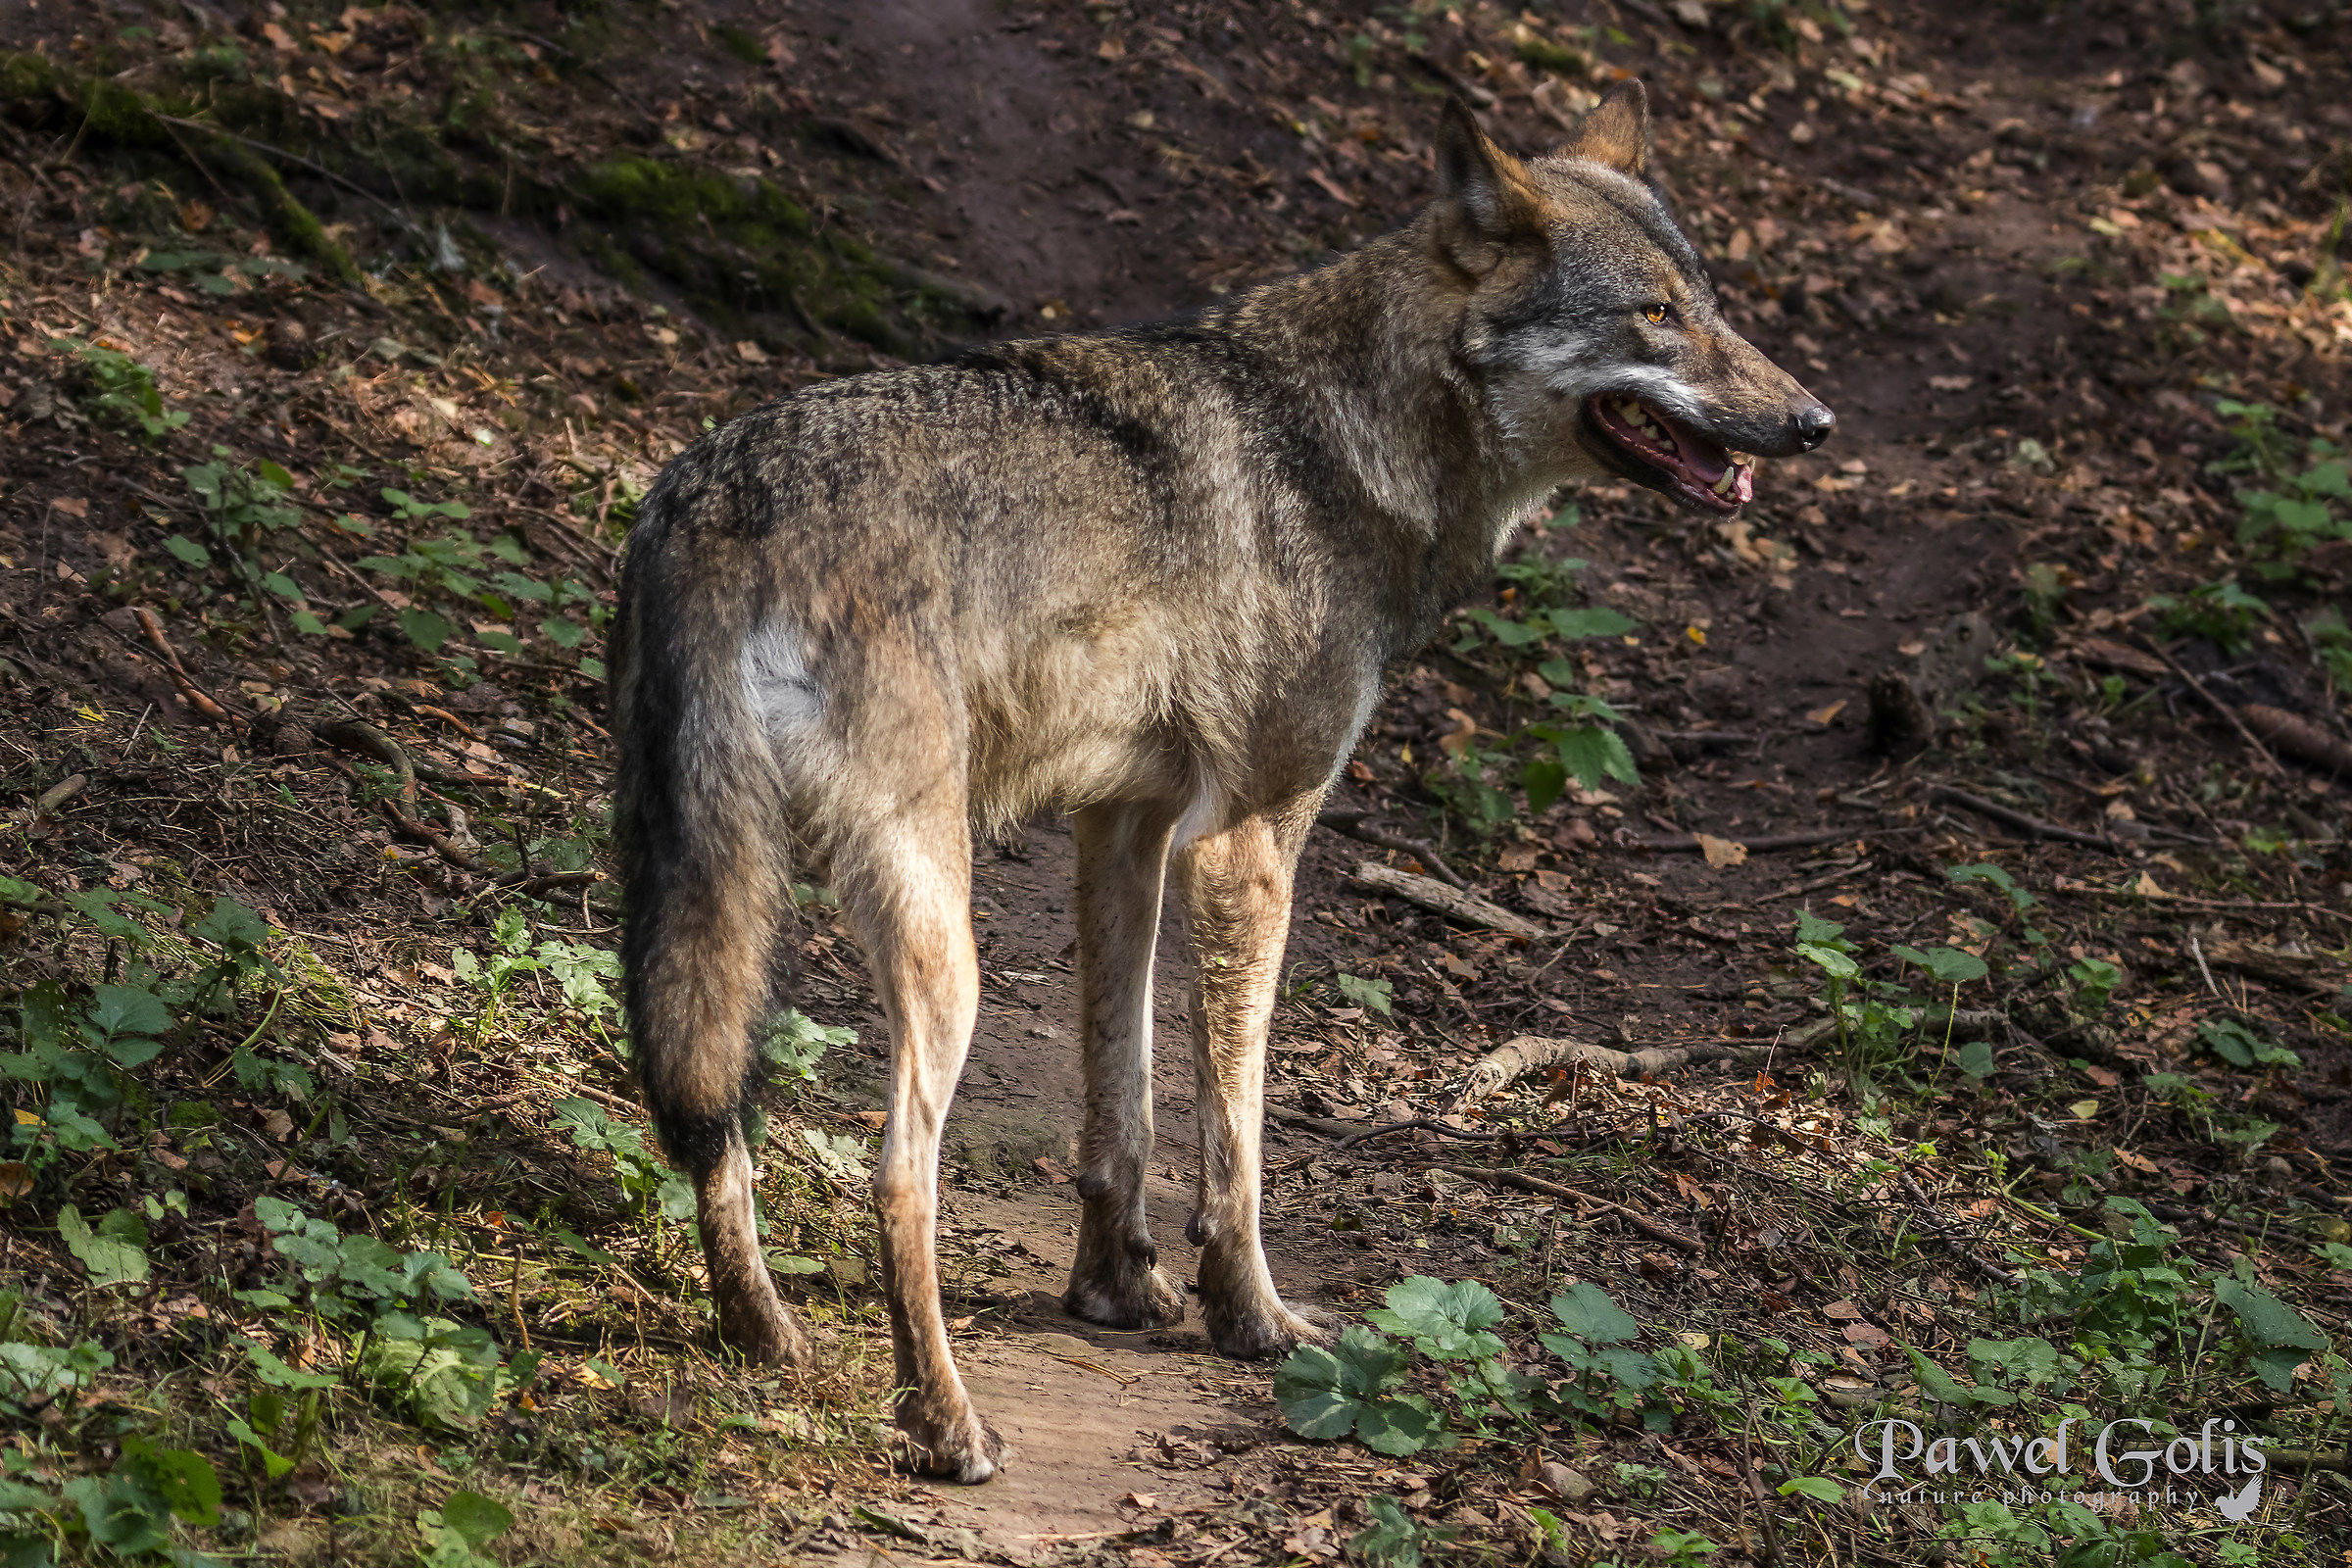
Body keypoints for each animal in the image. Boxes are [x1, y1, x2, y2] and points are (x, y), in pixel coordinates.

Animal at [609, 82, 1832, 1483]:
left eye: (1711, 302)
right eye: (1656, 314)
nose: (1814, 423)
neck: (1354, 439)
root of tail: (713, 496)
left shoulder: (1123, 831)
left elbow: (1122, 1101)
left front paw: (1114, 1288)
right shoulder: (1244, 846)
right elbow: (1239, 1142)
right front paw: (1250, 1316)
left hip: (712, 894)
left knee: (706, 1113)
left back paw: (765, 1337)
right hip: (940, 939)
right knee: (892, 1176)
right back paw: (946, 1423)